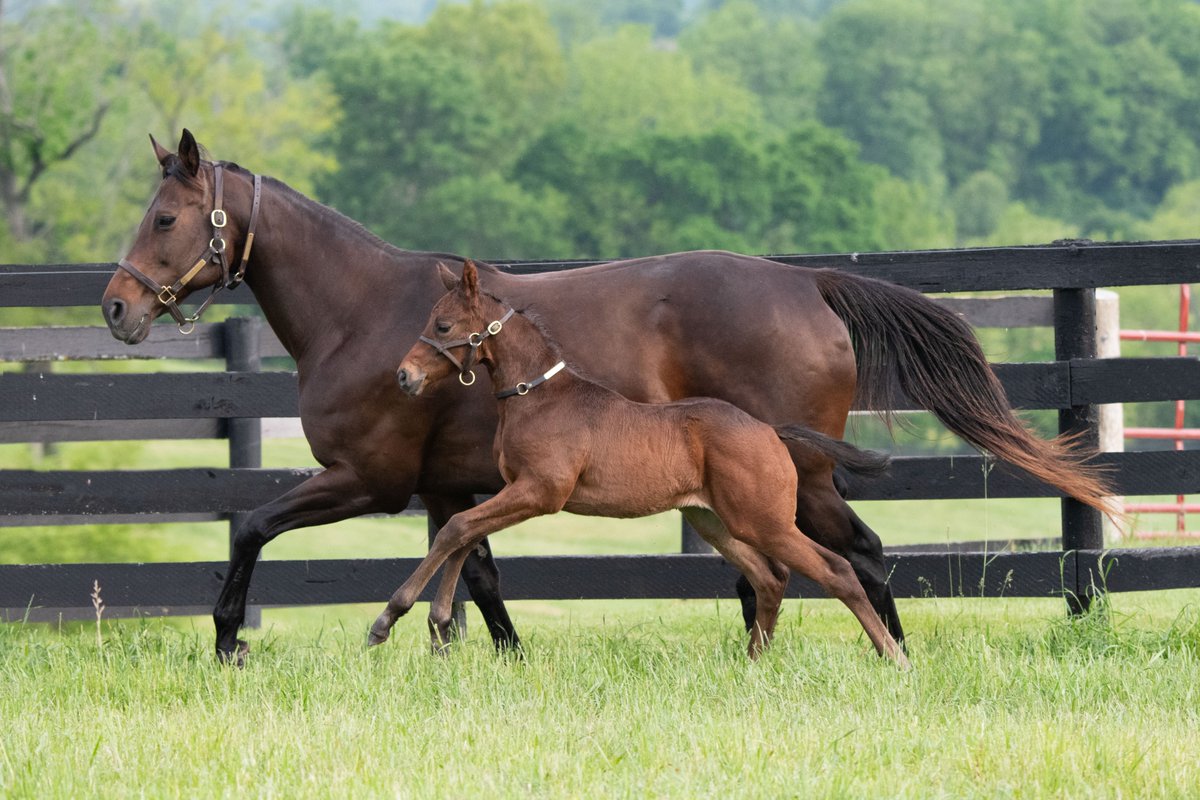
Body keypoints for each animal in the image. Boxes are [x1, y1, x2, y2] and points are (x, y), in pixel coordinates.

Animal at [372, 260, 907, 665]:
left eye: (442, 326)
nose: (405, 376)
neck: (537, 396)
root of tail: (768, 430)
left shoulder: (540, 492)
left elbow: (456, 528)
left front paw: (387, 619)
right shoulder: (511, 491)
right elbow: (464, 538)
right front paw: (435, 620)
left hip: (764, 520)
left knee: (837, 570)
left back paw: (895, 658)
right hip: (713, 520)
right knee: (770, 576)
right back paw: (753, 664)